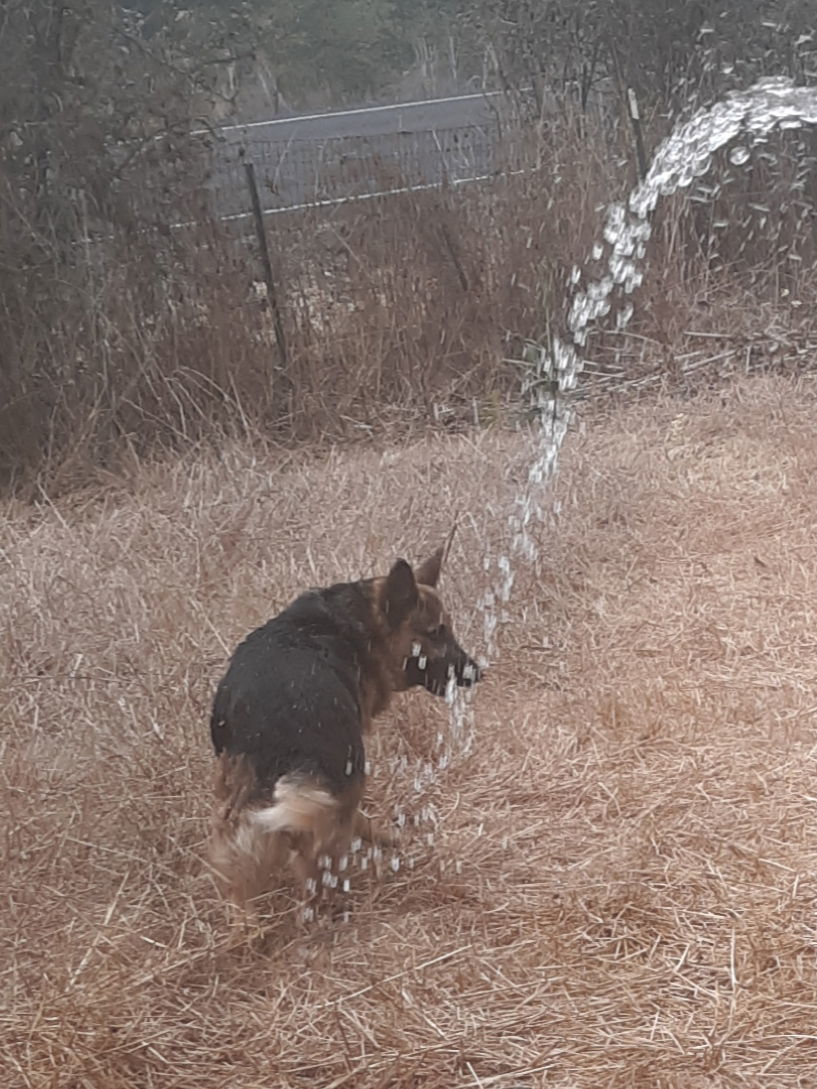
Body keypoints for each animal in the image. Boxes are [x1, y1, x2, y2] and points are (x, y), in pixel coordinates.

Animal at [208, 544, 483, 910]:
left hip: (241, 801)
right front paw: (389, 838)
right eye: (436, 632)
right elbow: (359, 821)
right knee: (315, 866)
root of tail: (275, 719)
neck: (358, 627)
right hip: (335, 786)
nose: (477, 672)